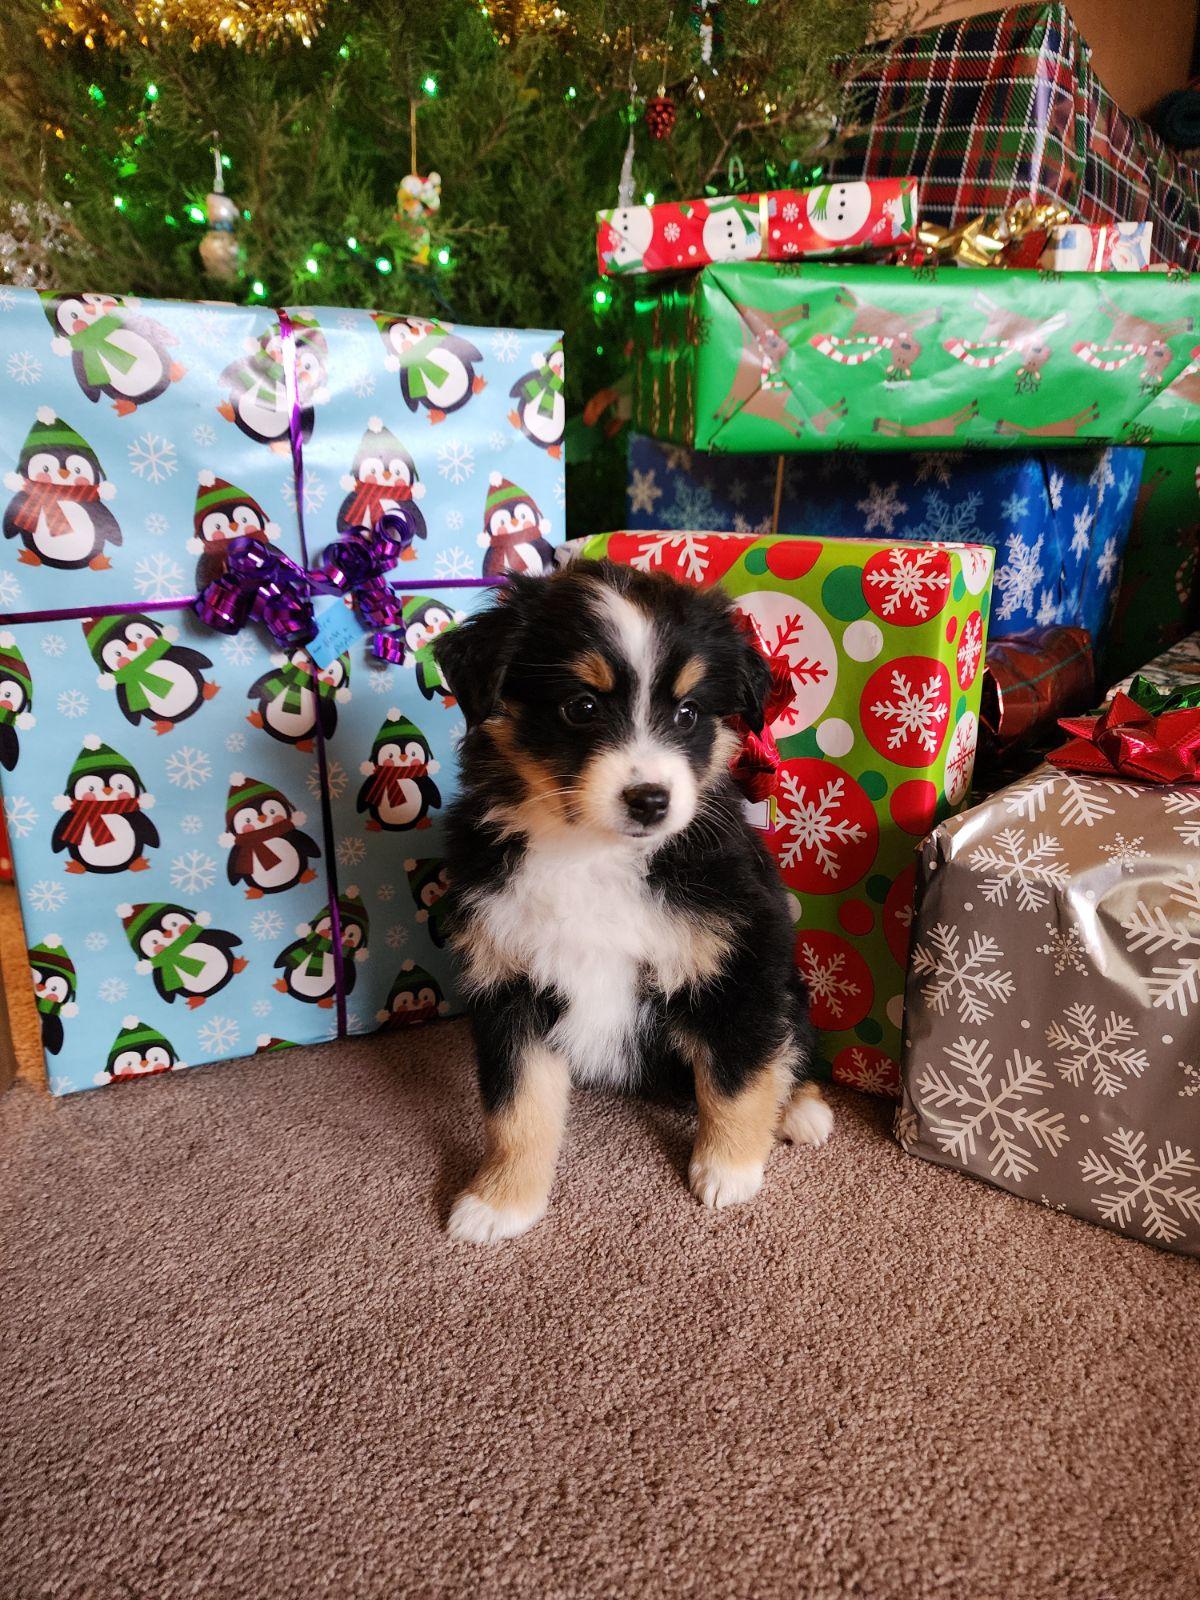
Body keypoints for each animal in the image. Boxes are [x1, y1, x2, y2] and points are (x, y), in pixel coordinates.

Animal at [433, 558, 831, 1244]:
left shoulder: (738, 961)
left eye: (689, 714)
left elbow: (737, 1076)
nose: (651, 800)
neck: (591, 853)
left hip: (789, 982)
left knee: (788, 1046)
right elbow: (516, 1109)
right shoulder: (507, 978)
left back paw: (801, 1110)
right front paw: (501, 1202)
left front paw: (728, 1172)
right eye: (582, 706)